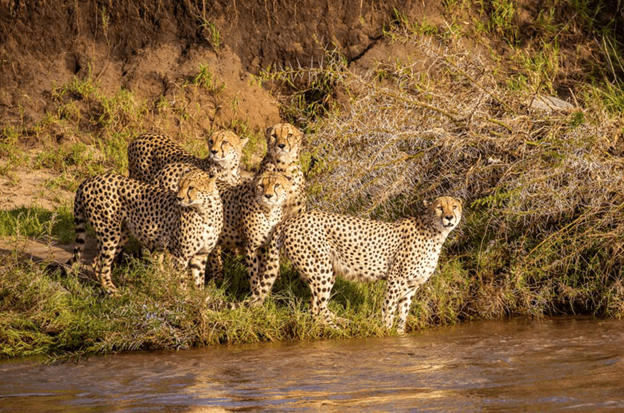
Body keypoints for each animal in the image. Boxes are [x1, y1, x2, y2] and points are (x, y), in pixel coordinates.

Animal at [65, 170, 222, 292]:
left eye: (191, 188)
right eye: (179, 186)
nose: (179, 198)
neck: (206, 212)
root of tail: (90, 179)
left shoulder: (201, 255)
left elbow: (199, 282)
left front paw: (200, 300)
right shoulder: (180, 255)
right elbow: (181, 281)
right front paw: (184, 298)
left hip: (120, 233)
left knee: (97, 261)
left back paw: (102, 285)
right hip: (110, 232)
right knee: (102, 263)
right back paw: (111, 290)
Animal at [251, 196, 460, 332]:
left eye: (455, 206)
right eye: (439, 207)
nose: (449, 217)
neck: (435, 233)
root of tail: (290, 221)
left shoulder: (411, 286)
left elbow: (403, 314)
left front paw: (400, 334)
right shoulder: (396, 279)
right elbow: (388, 310)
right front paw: (386, 332)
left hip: (326, 269)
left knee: (317, 306)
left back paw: (344, 322)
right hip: (321, 269)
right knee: (318, 309)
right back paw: (338, 330)